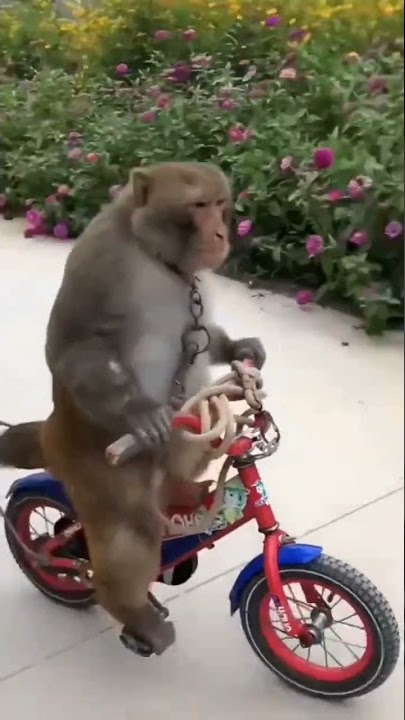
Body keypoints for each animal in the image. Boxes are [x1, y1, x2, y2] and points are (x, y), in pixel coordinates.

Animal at [1, 162, 266, 656]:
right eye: (199, 205)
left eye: (220, 204)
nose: (221, 232)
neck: (155, 254)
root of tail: (51, 431)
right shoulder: (100, 259)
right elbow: (71, 345)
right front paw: (139, 412)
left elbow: (207, 336)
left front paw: (242, 350)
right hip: (99, 467)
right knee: (128, 532)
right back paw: (133, 612)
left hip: (183, 431)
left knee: (190, 450)